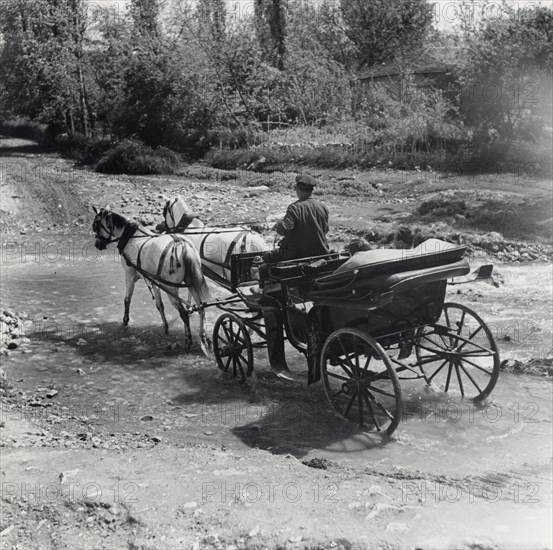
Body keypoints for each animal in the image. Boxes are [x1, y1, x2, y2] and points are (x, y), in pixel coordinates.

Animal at [91, 207, 210, 354]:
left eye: (95, 225)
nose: (97, 244)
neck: (132, 237)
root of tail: (181, 244)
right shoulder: (154, 281)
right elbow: (160, 306)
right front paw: (165, 327)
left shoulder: (129, 275)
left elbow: (127, 300)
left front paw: (125, 321)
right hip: (192, 285)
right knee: (201, 308)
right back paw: (203, 336)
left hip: (171, 289)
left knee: (184, 314)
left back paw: (188, 341)